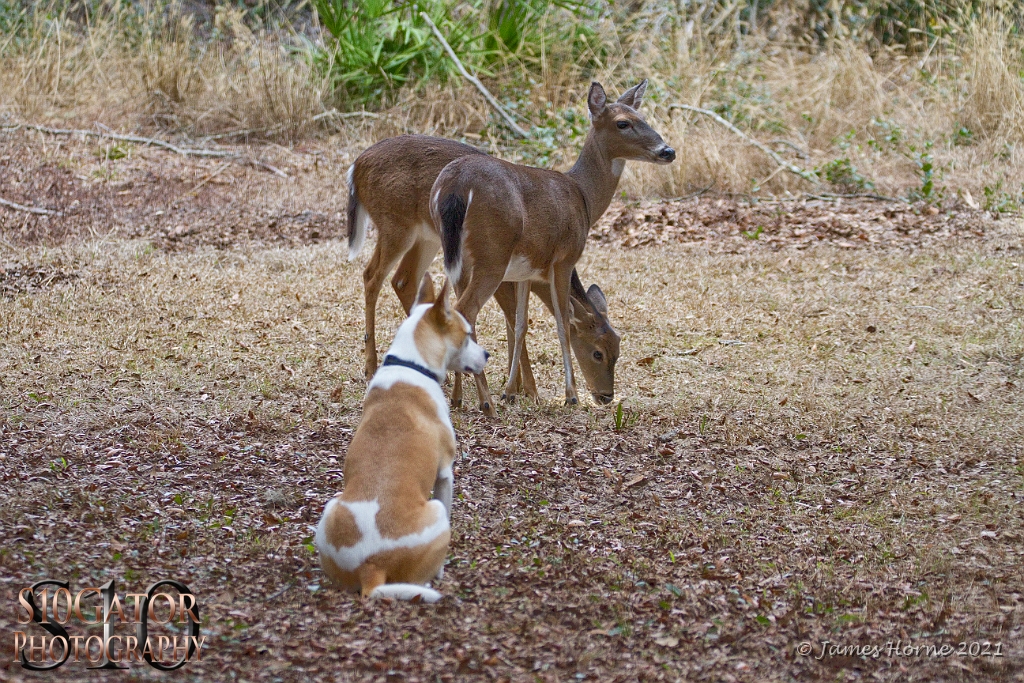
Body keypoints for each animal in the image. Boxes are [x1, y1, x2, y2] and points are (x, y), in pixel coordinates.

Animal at [313, 274, 485, 602]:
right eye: (468, 335)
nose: (487, 354)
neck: (410, 363)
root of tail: (371, 568)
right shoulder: (445, 474)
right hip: (436, 513)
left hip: (330, 509)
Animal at [346, 136, 614, 409]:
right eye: (598, 352)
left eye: (618, 349)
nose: (606, 396)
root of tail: (355, 169)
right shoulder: (525, 268)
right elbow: (531, 320)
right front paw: (537, 391)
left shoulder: (522, 274)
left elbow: (517, 321)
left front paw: (516, 387)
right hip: (407, 231)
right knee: (375, 276)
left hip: (432, 241)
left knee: (405, 281)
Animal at [430, 77, 671, 413]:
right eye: (623, 123)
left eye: (619, 348)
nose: (667, 151)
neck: (583, 196)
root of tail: (454, 188)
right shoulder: (564, 259)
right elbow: (561, 324)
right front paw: (570, 395)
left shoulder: (525, 271)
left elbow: (520, 324)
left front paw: (511, 391)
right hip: (492, 255)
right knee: (466, 310)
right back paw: (486, 402)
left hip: (458, 257)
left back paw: (458, 398)